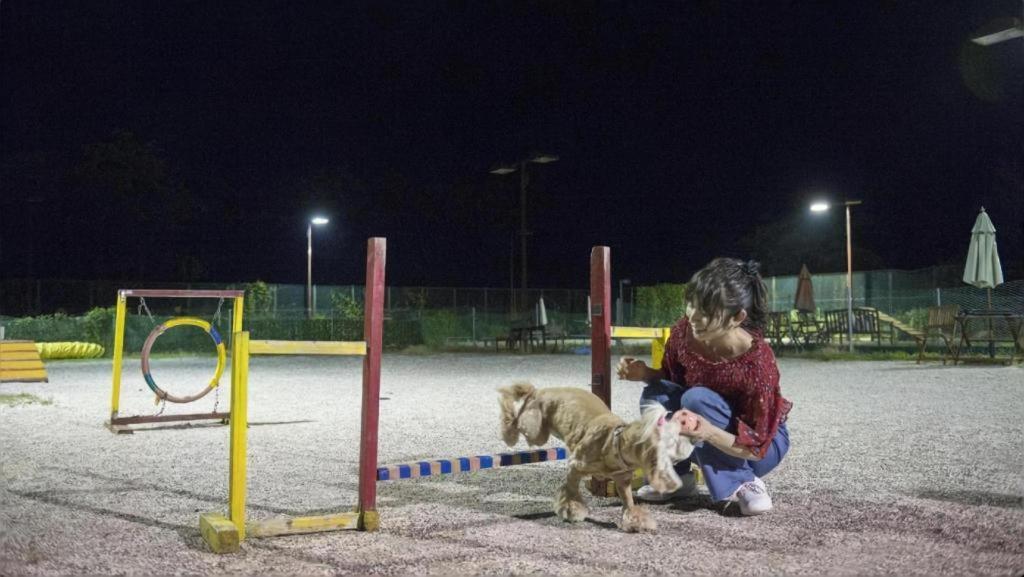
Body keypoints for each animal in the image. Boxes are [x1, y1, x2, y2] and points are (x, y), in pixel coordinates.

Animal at [497, 381, 696, 537]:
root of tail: (541, 391)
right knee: (515, 417)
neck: (613, 442)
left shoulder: (622, 481)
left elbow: (629, 503)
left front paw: (637, 521)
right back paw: (508, 420)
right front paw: (571, 510)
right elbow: (570, 491)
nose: (693, 441)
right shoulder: (575, 466)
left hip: (538, 431)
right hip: (535, 430)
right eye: (673, 439)